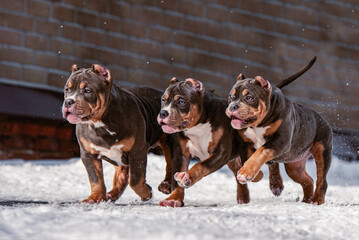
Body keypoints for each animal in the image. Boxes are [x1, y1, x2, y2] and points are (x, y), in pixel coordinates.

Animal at [63, 64, 173, 203]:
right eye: (67, 89)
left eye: (87, 90)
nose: (68, 101)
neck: (100, 123)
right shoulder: (88, 154)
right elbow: (95, 178)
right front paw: (95, 197)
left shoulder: (137, 151)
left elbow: (135, 180)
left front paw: (146, 193)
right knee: (122, 175)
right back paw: (112, 194)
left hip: (169, 142)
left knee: (170, 164)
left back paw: (166, 185)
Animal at [226, 57, 334, 204]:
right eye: (231, 97)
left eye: (249, 97)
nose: (233, 106)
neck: (258, 124)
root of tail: (322, 120)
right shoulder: (245, 143)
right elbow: (248, 159)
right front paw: (253, 174)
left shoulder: (280, 140)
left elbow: (261, 152)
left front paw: (245, 173)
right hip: (294, 165)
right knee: (308, 180)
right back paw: (305, 200)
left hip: (322, 150)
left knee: (322, 179)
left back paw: (317, 200)